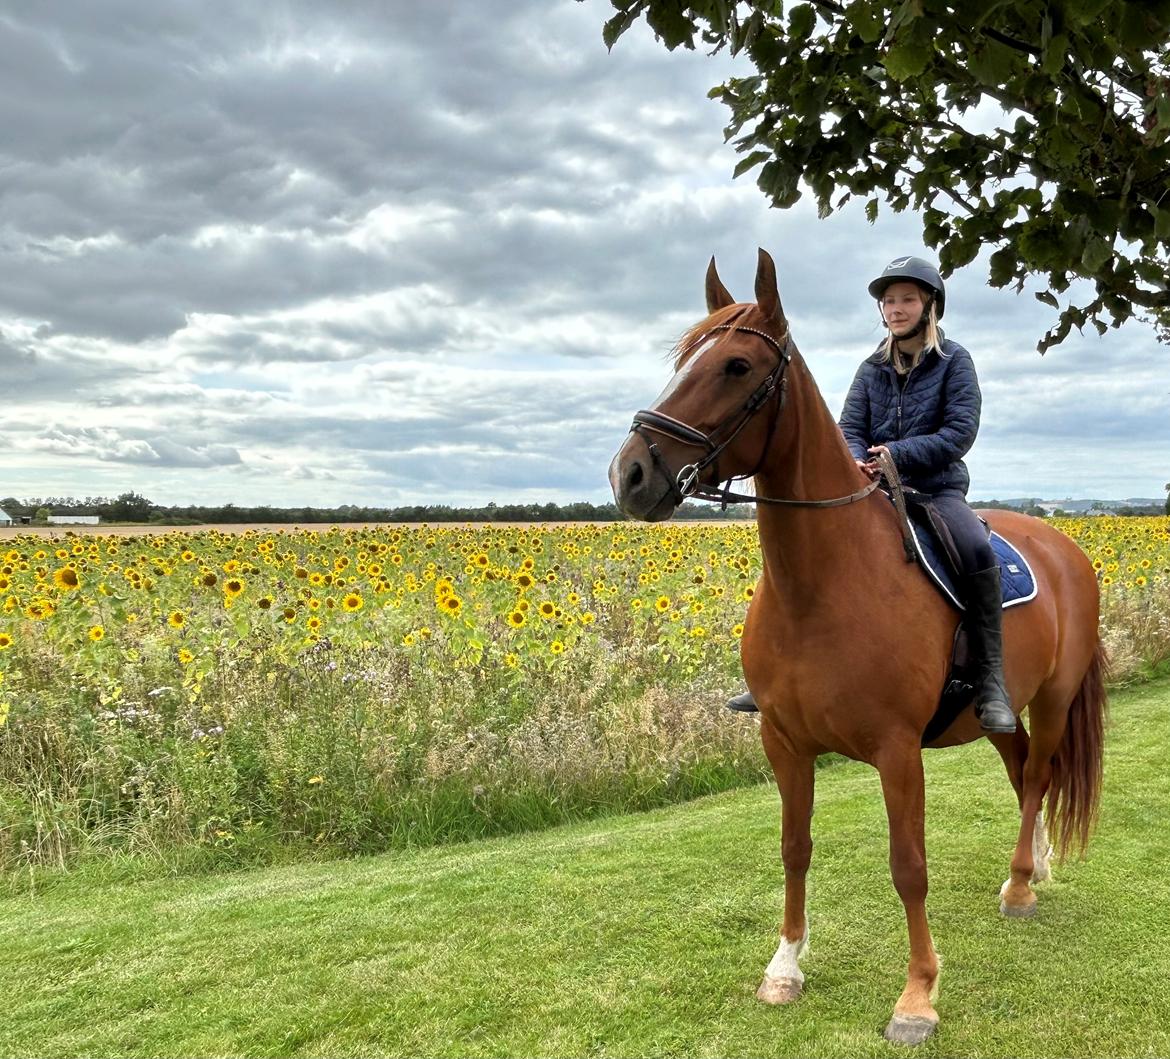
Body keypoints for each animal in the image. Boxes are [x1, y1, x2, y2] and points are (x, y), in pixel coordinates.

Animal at [608, 250, 1109, 1048]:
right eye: (683, 362)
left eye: (738, 366)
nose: (630, 474)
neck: (822, 585)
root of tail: (1067, 547)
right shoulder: (784, 742)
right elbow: (794, 847)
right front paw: (785, 966)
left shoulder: (897, 751)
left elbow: (909, 867)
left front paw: (918, 997)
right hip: (994, 713)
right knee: (1023, 766)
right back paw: (1030, 870)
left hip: (1057, 698)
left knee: (1037, 777)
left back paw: (1020, 887)